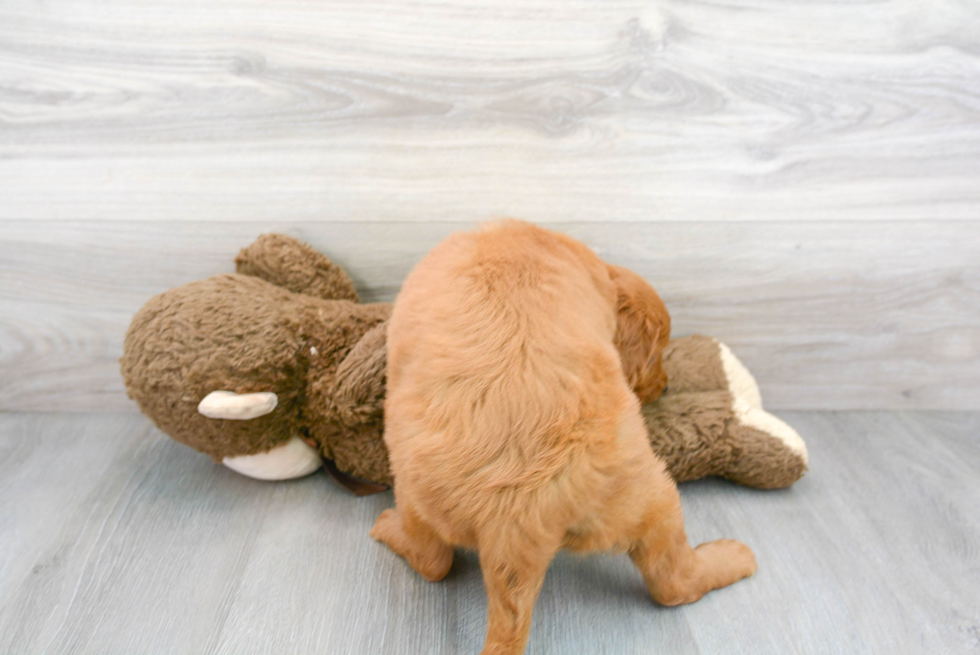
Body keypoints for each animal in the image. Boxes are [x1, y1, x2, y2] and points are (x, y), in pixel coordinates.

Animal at [372, 222, 756, 655]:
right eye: (658, 352)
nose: (666, 386)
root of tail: (516, 518)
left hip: (419, 495)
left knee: (433, 561)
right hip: (648, 501)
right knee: (673, 583)